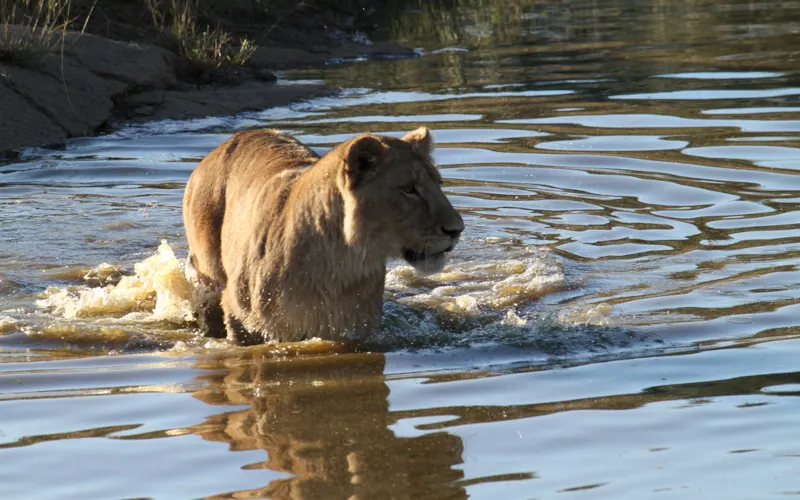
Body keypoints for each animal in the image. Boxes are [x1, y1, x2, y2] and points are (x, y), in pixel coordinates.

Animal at [183, 127, 464, 344]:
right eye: (408, 190)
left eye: (438, 183)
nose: (457, 229)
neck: (338, 264)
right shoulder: (241, 319)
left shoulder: (354, 331)